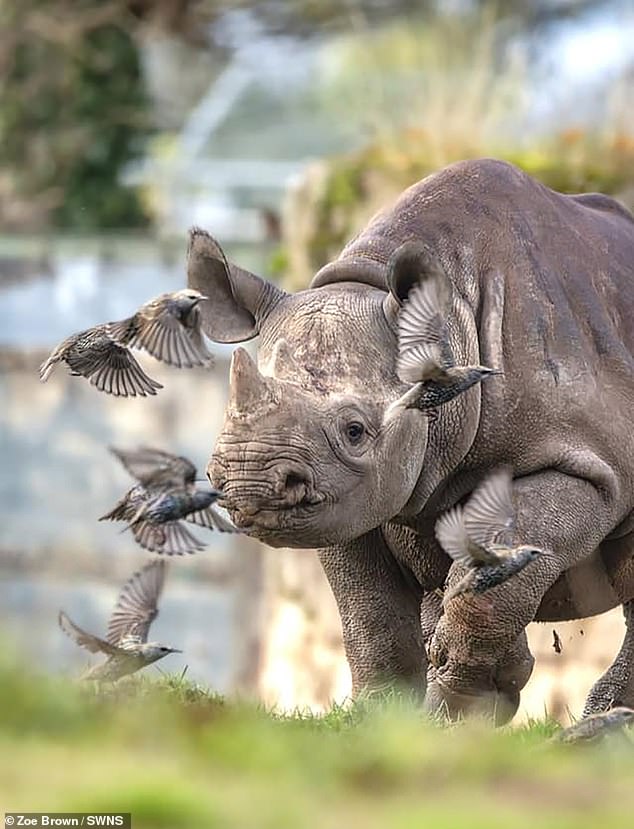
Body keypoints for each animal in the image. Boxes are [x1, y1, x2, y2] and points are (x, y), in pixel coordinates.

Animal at [188, 158, 632, 720]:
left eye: (355, 431)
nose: (248, 486)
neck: (453, 328)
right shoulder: (352, 497)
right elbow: (371, 611)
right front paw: (388, 720)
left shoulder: (589, 469)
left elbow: (499, 566)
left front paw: (458, 711)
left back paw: (602, 719)